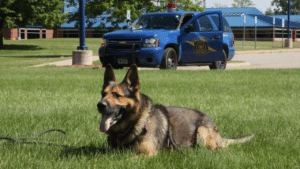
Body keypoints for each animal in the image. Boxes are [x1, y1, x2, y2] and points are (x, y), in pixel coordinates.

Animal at [97, 64, 254, 156]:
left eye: (117, 95)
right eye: (103, 94)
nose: (100, 105)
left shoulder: (146, 154)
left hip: (202, 132)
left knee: (216, 149)